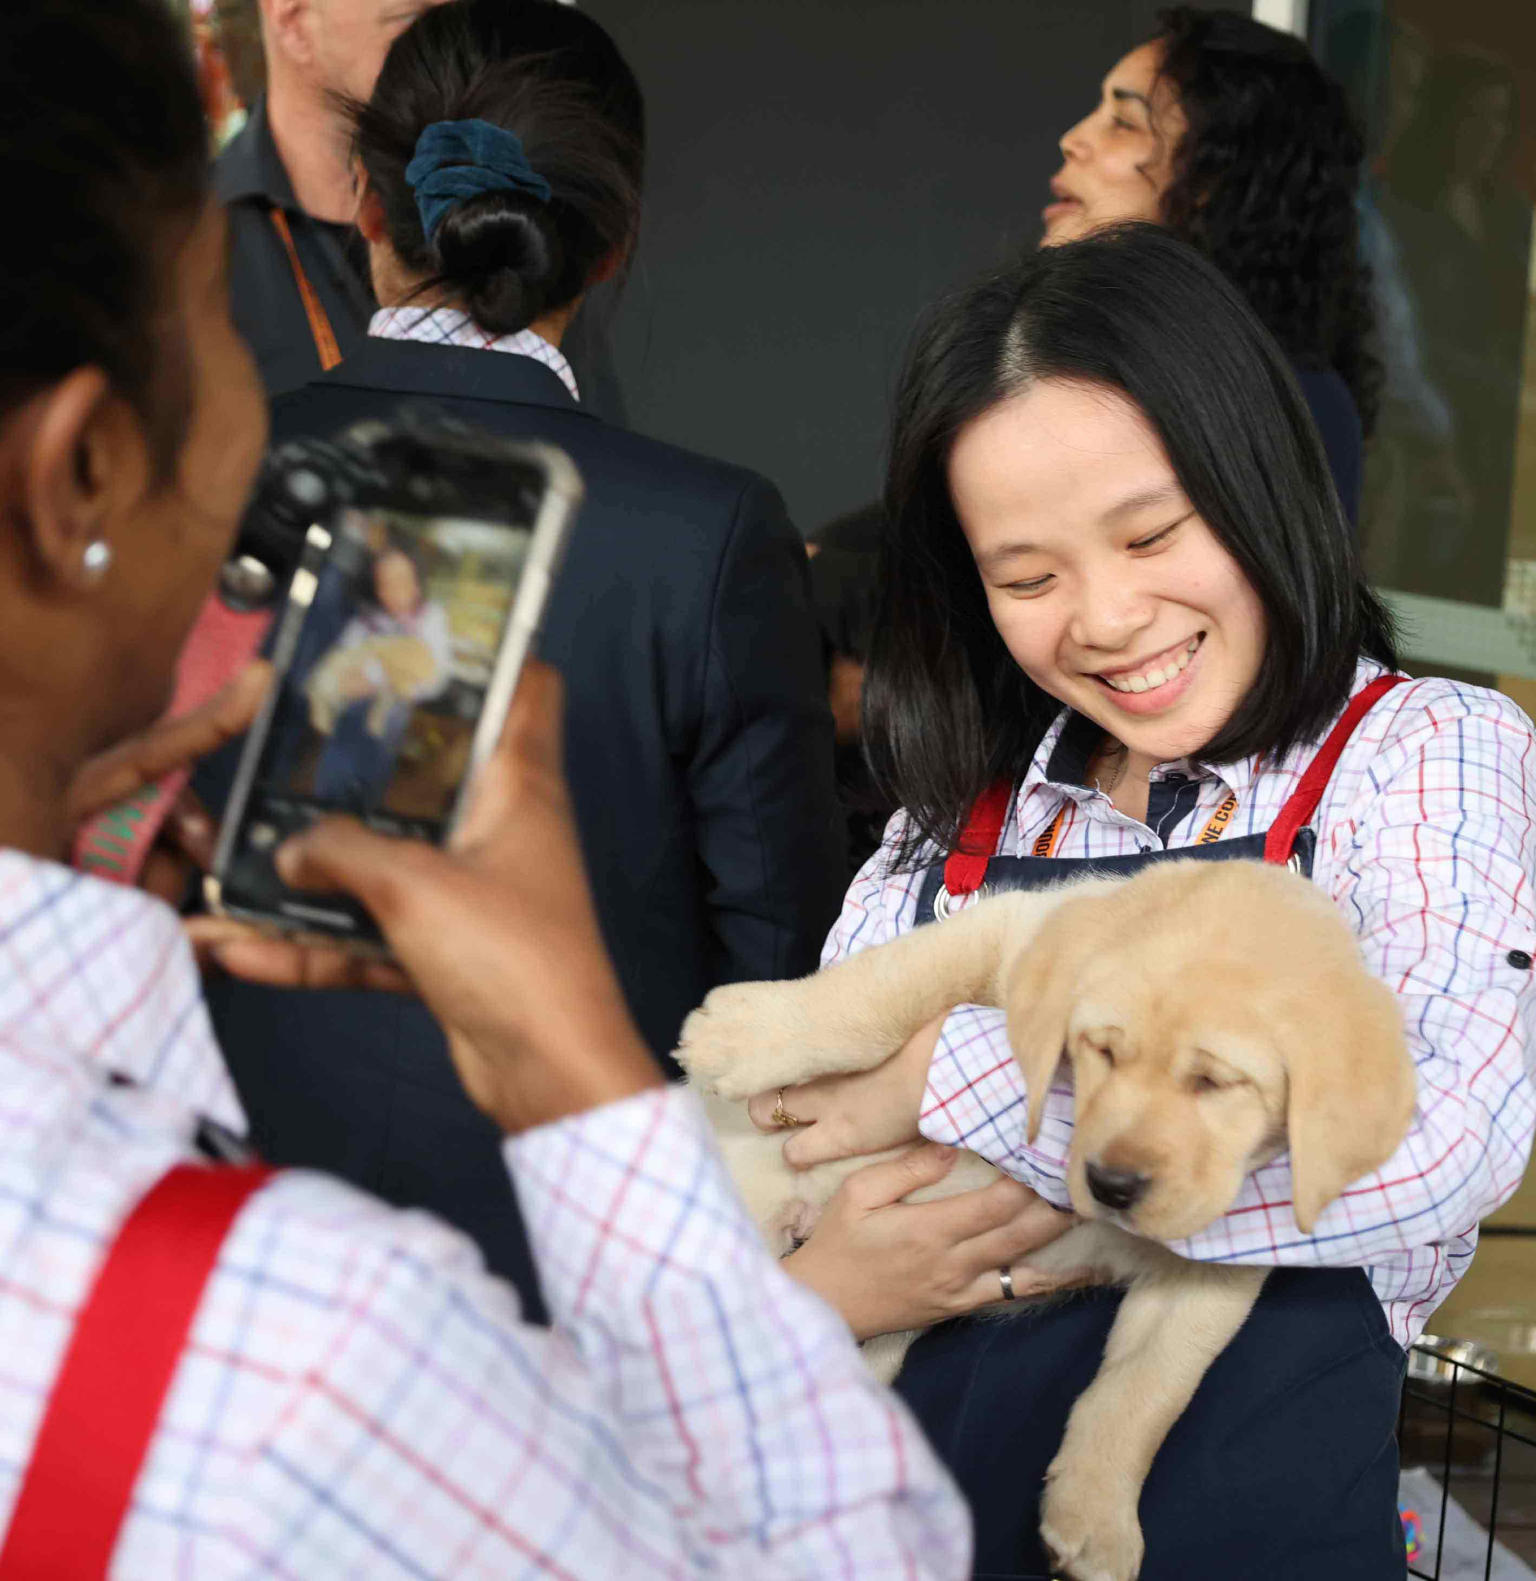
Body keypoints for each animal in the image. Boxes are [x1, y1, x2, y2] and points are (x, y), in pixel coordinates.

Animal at [682, 860, 1415, 1581]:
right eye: (1103, 1052)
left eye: (1214, 1084)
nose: (1111, 1184)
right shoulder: (999, 931)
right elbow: (881, 991)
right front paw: (740, 1035)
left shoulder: (1205, 1275)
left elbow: (1146, 1392)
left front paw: (1097, 1519)